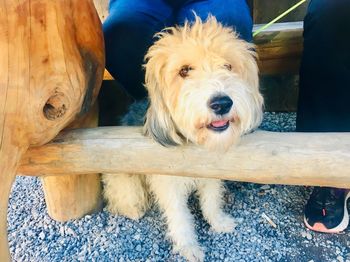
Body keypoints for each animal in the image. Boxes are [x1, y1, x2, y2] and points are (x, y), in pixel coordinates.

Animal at [102, 15, 264, 260]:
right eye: (184, 70)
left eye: (228, 66)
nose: (222, 103)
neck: (195, 146)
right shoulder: (168, 184)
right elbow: (179, 217)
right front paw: (188, 246)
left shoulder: (211, 174)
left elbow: (211, 200)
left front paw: (218, 221)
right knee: (121, 194)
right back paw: (132, 209)